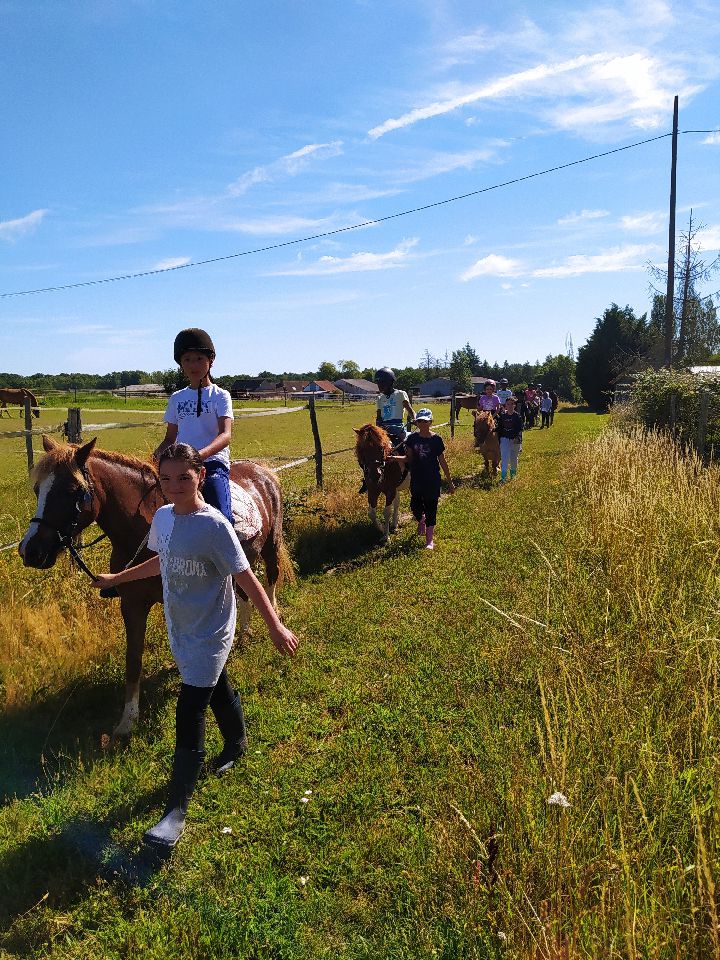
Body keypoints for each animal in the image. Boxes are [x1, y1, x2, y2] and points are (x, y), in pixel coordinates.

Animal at [17, 438, 292, 740]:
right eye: (37, 489)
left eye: (71, 491)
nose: (30, 551)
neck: (146, 529)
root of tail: (263, 471)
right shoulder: (133, 605)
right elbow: (133, 659)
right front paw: (127, 720)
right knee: (244, 594)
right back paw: (242, 635)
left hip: (270, 547)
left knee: (269, 584)